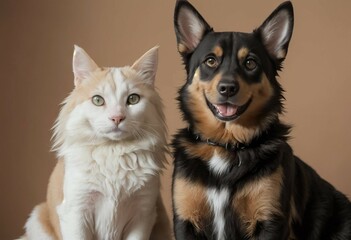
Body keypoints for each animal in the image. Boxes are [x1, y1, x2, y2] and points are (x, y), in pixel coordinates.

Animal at [20, 46, 172, 239]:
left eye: (133, 99)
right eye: (98, 100)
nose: (117, 118)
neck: (114, 152)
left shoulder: (143, 213)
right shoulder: (76, 211)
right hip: (37, 219)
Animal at [173, 0, 351, 239]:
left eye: (250, 63)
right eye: (210, 61)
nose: (227, 88)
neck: (227, 144)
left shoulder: (270, 218)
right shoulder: (185, 220)